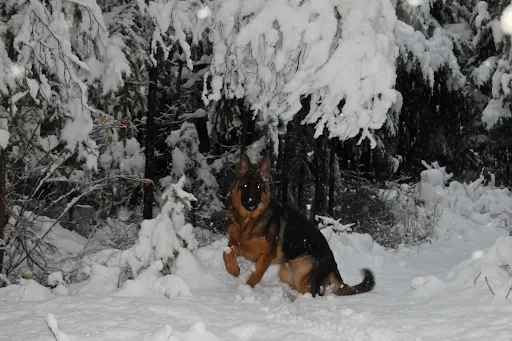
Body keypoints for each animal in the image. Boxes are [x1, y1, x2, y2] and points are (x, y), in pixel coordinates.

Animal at [224, 153, 376, 296]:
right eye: (245, 185)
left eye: (259, 187)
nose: (252, 202)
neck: (247, 221)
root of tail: (332, 261)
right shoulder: (236, 244)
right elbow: (226, 253)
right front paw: (233, 270)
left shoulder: (265, 257)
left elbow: (255, 275)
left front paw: (246, 288)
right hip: (287, 273)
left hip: (303, 279)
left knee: (313, 294)